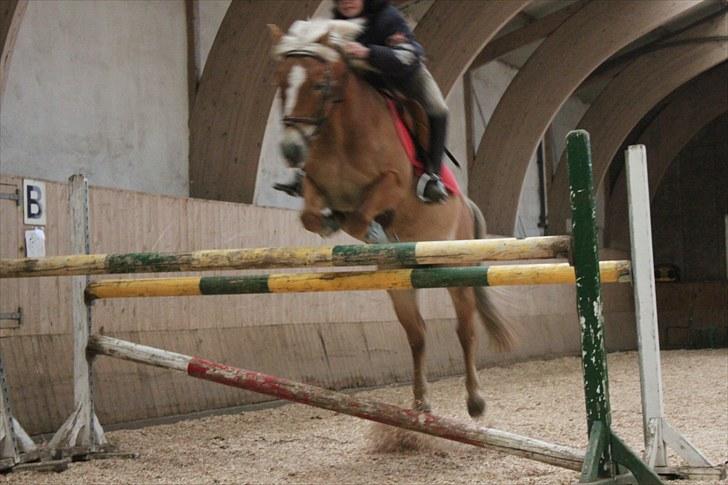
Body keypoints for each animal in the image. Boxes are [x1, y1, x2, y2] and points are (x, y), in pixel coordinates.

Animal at [270, 19, 516, 416]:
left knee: (465, 329)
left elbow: (361, 215)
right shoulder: (318, 187)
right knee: (417, 334)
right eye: (281, 85)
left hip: (456, 272)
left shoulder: (394, 186)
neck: (340, 133)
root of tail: (467, 205)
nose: (291, 150)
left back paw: (475, 401)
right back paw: (420, 402)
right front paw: (333, 223)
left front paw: (373, 232)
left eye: (319, 84)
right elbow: (312, 214)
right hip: (399, 285)